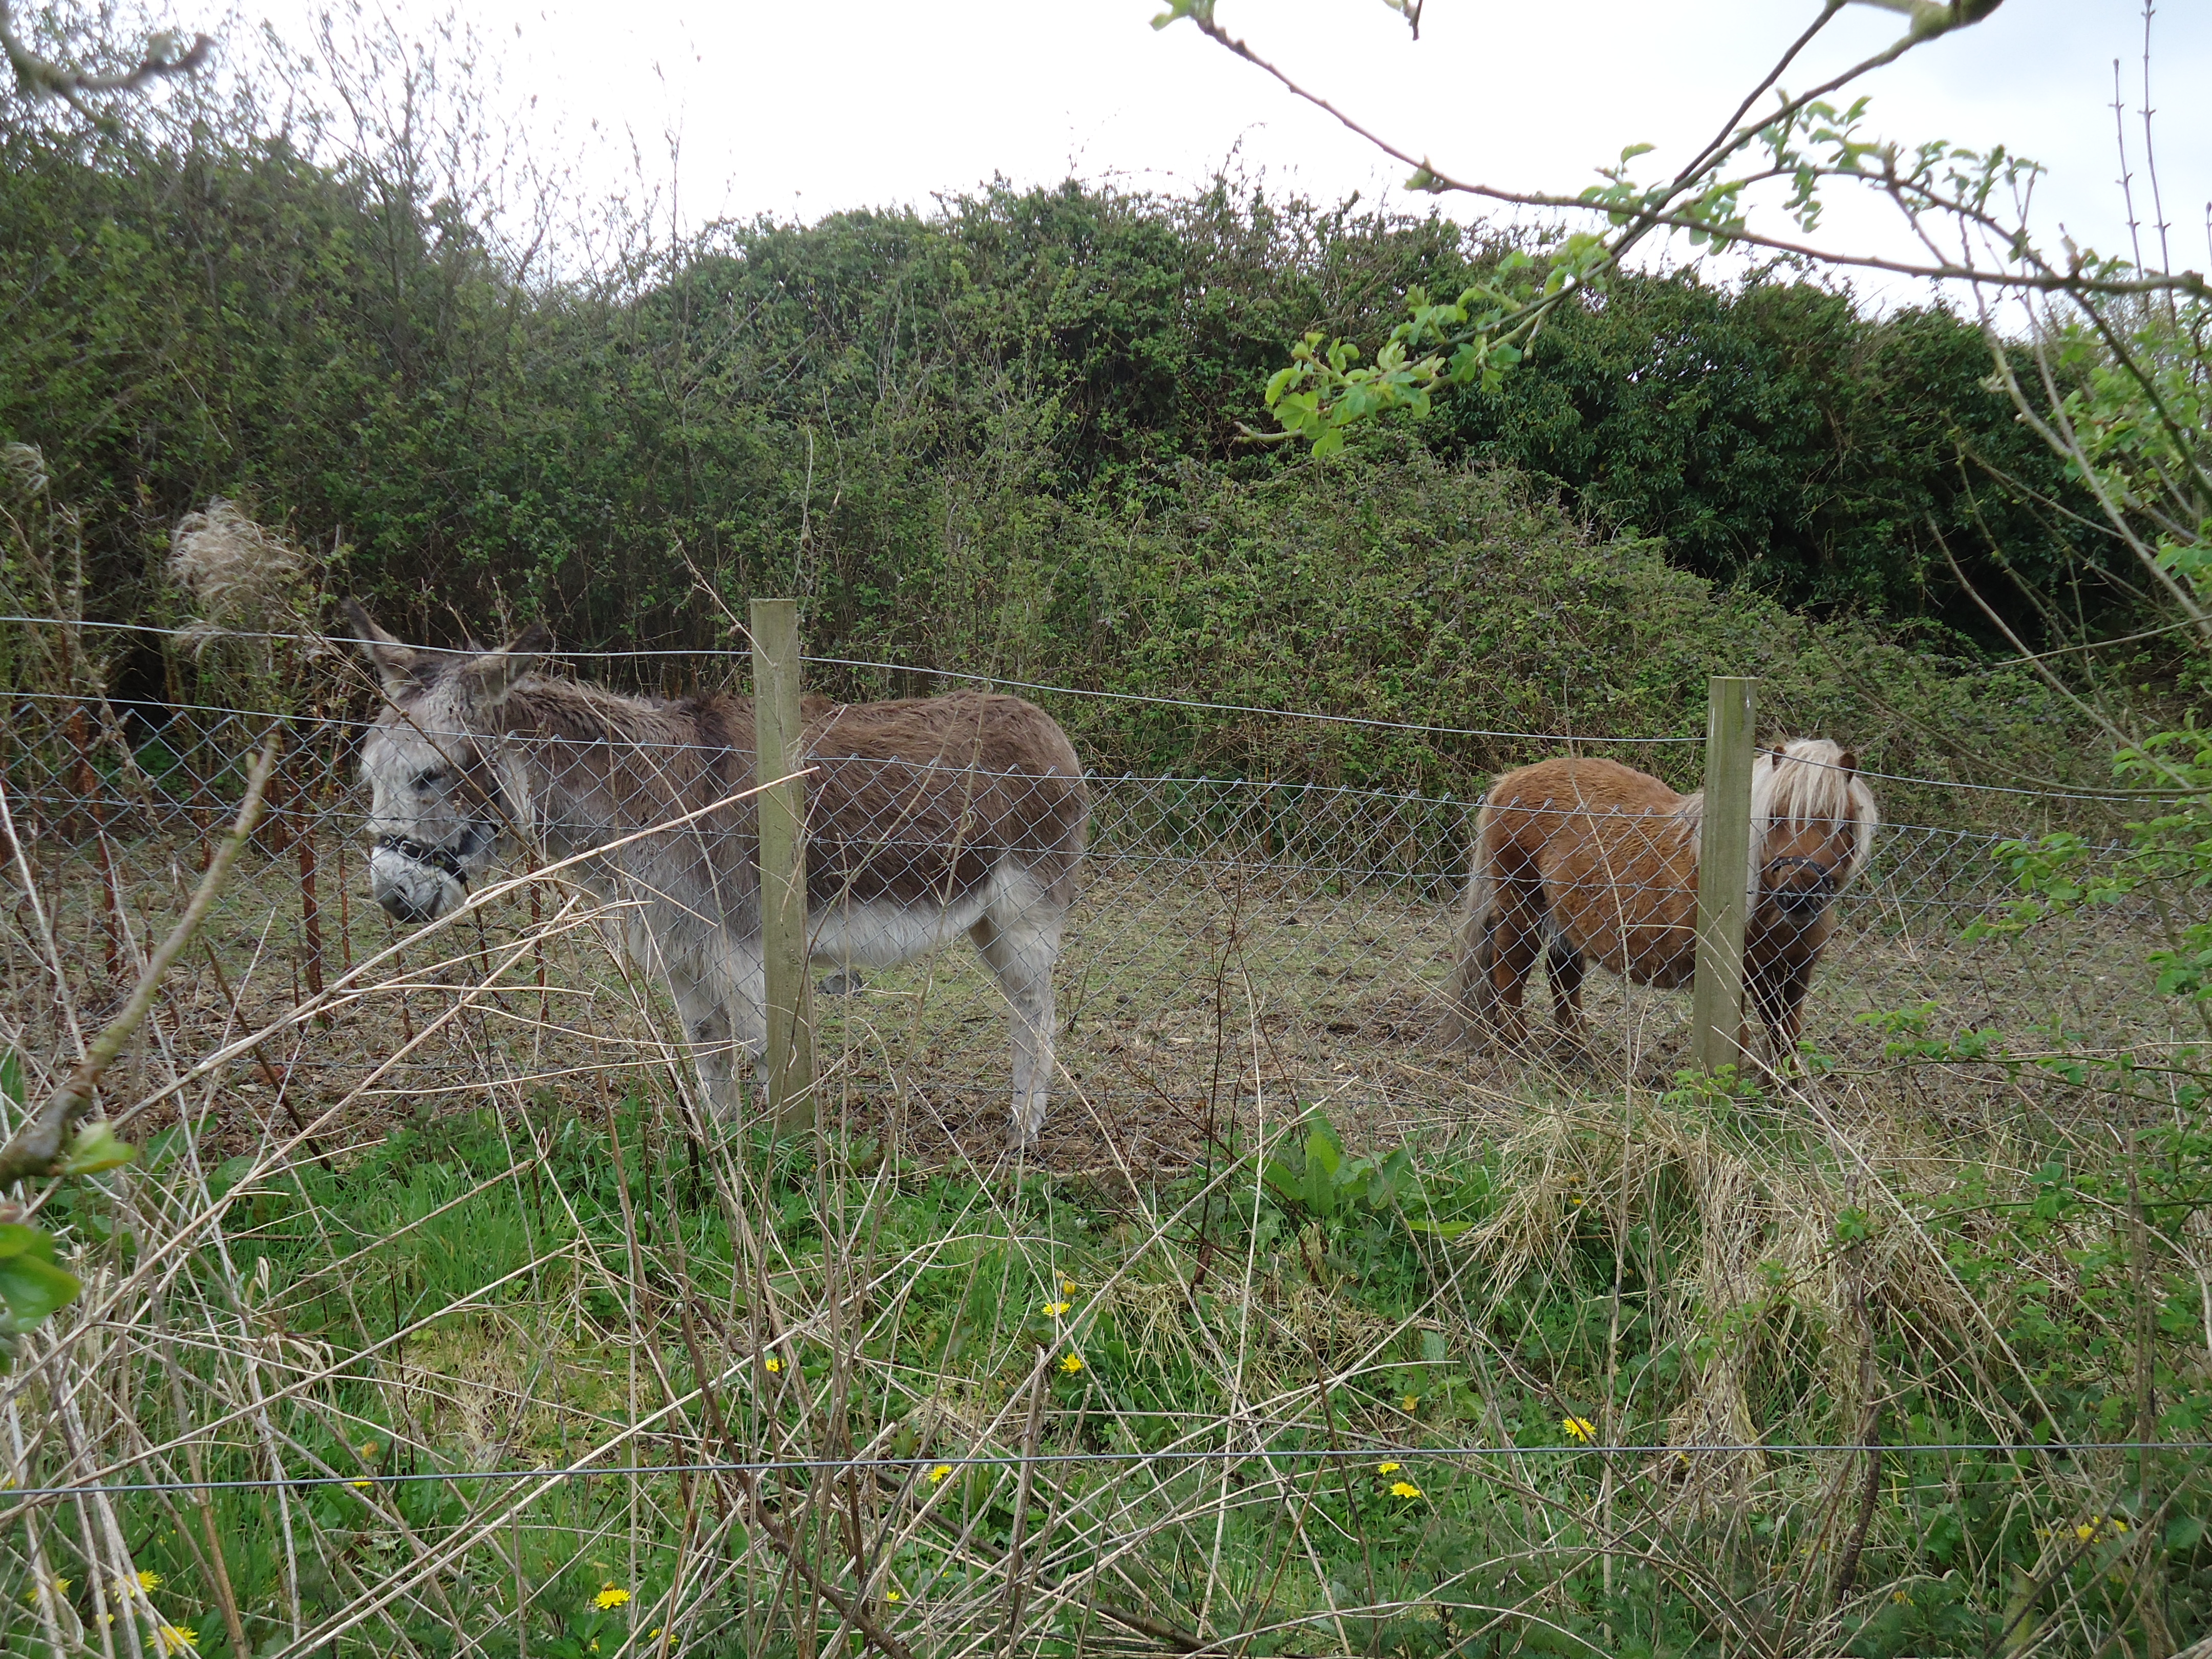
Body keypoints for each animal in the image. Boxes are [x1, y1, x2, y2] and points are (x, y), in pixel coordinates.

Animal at [343, 604, 1090, 1148]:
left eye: (430, 775)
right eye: (370, 776)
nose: (392, 898)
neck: (652, 798)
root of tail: (1043, 722)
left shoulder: (747, 954)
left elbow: (764, 1060)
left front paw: (779, 1166)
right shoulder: (682, 952)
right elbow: (711, 1060)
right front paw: (726, 1149)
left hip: (1025, 917)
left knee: (1037, 1015)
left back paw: (1023, 1135)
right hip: (987, 922)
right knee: (1026, 1012)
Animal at [1439, 740, 1878, 1061]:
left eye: (1841, 822)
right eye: (1774, 817)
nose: (1799, 894)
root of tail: (1510, 781)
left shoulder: (1792, 977)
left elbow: (1786, 1039)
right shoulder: (1735, 979)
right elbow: (1738, 1043)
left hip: (1568, 920)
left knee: (1562, 978)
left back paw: (1579, 1050)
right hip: (1522, 910)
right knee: (1509, 972)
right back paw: (1518, 1048)